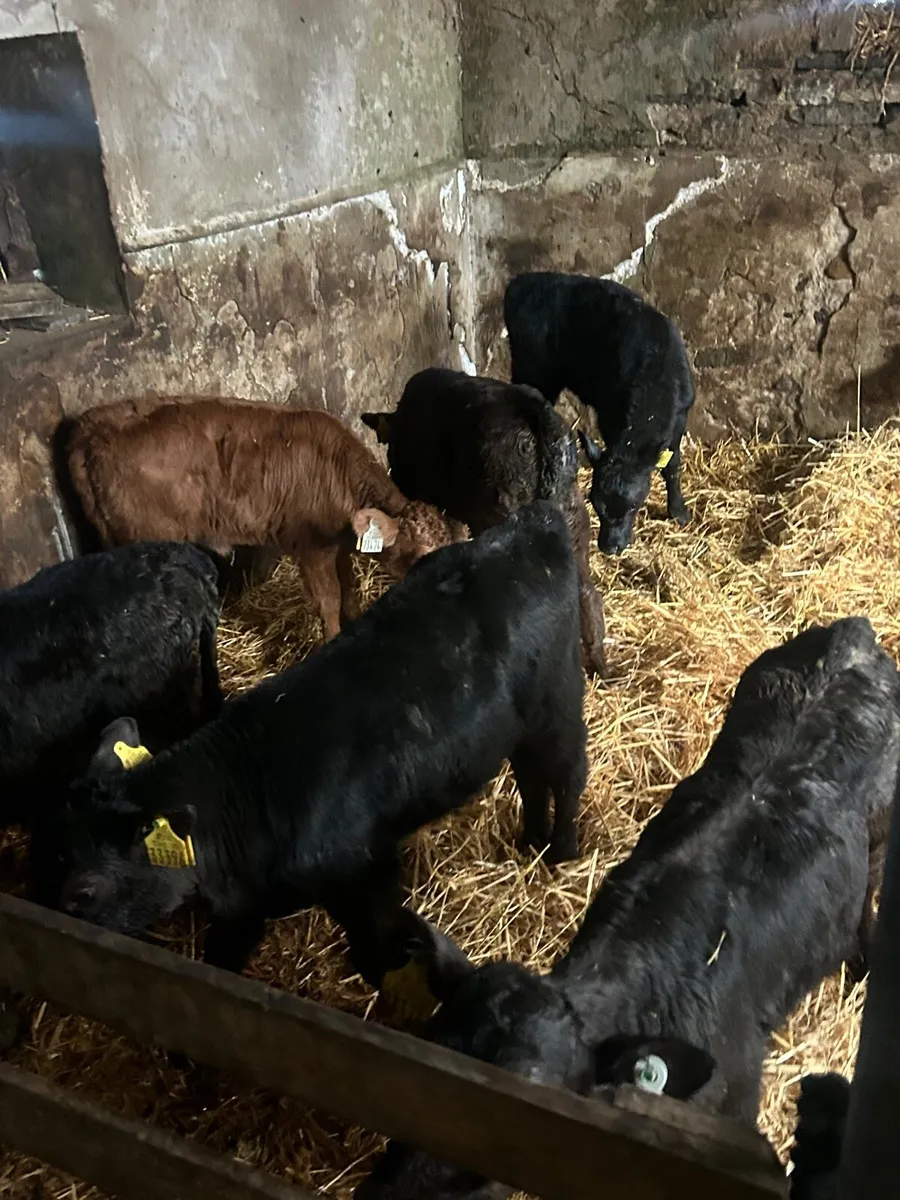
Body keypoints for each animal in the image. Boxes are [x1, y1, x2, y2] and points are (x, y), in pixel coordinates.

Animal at [46, 502, 587, 984]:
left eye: (85, 893)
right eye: (61, 852)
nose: (64, 932)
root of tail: (533, 522)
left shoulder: (364, 871)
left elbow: (371, 930)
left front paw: (378, 971)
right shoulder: (245, 907)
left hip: (558, 702)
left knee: (567, 775)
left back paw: (560, 852)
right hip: (520, 726)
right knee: (530, 775)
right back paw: (532, 839)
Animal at [60, 397, 464, 639]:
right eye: (419, 555)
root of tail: (91, 426)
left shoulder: (338, 545)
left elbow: (348, 589)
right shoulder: (310, 546)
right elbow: (330, 600)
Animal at [504, 272, 695, 554]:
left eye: (633, 507)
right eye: (595, 503)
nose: (610, 547)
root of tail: (520, 281)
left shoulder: (679, 423)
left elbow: (672, 466)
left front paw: (678, 512)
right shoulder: (609, 416)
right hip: (533, 371)